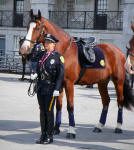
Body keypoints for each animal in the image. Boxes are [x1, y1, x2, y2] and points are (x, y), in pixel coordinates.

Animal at [19, 9, 133, 139]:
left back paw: (118, 127)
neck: (64, 52)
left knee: (120, 101)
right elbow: (59, 105)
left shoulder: (69, 84)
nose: (24, 49)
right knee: (106, 101)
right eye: (27, 27)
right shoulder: (59, 84)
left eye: (37, 28)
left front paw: (71, 131)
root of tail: (118, 51)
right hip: (102, 82)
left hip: (118, 82)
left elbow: (70, 106)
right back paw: (99, 126)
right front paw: (56, 129)